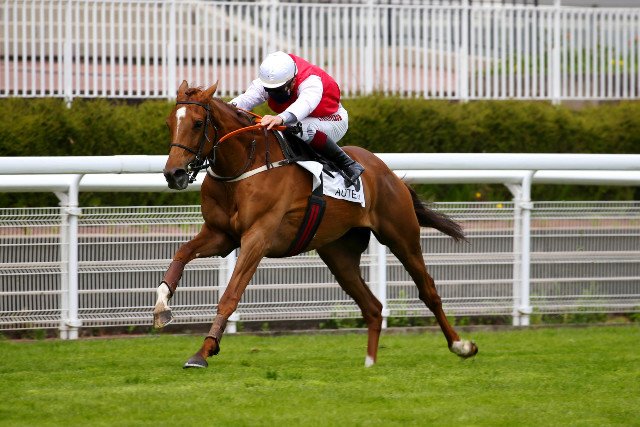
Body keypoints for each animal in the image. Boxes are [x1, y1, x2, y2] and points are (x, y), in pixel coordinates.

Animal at [154, 80, 478, 368]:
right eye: (169, 122)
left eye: (198, 123)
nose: (174, 173)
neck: (244, 166)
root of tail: (389, 173)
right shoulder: (220, 235)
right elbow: (181, 254)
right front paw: (162, 307)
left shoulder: (257, 238)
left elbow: (230, 295)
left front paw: (204, 351)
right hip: (338, 254)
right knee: (373, 307)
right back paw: (369, 363)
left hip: (401, 236)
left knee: (428, 291)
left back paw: (461, 346)